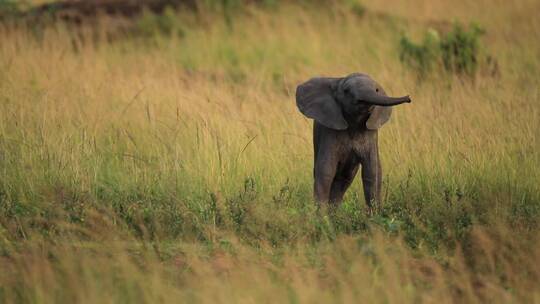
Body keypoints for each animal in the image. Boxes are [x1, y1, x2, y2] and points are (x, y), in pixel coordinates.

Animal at [294, 73, 412, 211]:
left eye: (377, 90)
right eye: (346, 91)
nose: (409, 98)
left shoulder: (371, 133)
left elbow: (372, 171)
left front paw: (375, 215)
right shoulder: (330, 132)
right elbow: (326, 170)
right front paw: (322, 216)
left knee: (344, 181)